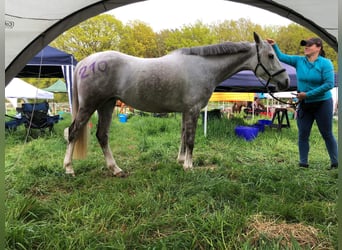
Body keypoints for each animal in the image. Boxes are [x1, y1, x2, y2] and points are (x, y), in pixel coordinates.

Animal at [63, 32, 288, 177]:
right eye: (270, 56)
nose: (285, 81)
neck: (203, 67)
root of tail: (84, 63)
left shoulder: (185, 111)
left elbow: (182, 136)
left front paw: (180, 161)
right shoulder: (193, 110)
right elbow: (190, 139)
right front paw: (189, 166)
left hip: (107, 105)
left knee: (102, 135)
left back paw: (116, 169)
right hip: (89, 106)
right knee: (73, 132)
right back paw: (69, 168)